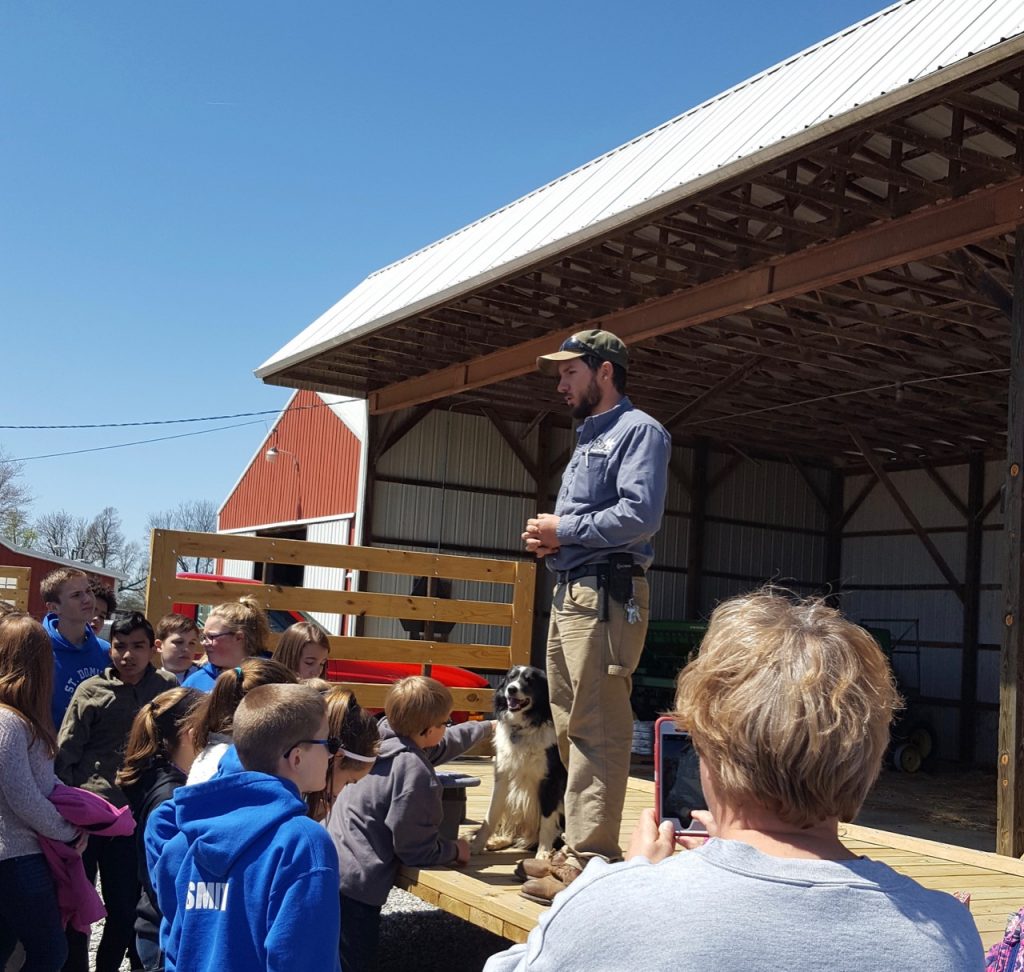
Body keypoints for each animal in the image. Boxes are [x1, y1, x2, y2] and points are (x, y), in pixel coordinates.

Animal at [468, 663, 565, 852]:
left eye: (529, 680)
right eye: (510, 678)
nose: (511, 689)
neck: (522, 728)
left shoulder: (550, 781)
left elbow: (547, 820)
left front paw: (543, 853)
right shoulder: (502, 776)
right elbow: (491, 815)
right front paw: (476, 846)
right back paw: (499, 841)